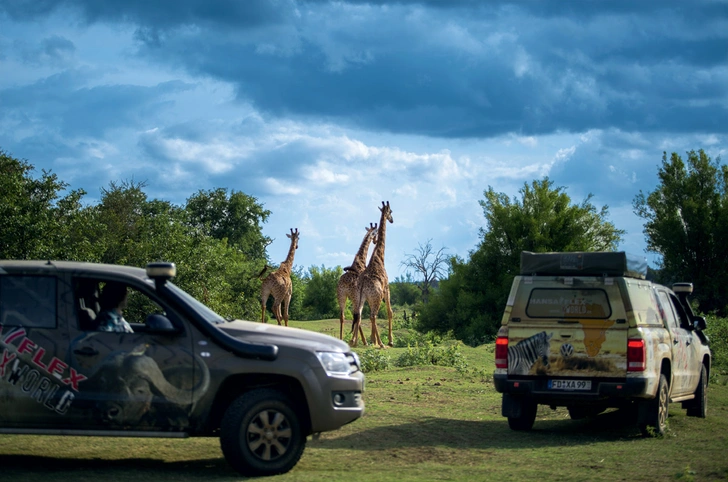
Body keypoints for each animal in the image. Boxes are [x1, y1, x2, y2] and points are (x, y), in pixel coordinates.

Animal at [352, 201, 396, 348]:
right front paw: (390, 341)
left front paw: (373, 340)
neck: (379, 256)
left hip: (361, 299)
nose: (392, 220)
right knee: (373, 316)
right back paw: (381, 344)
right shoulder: (386, 288)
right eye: (390, 212)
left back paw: (355, 342)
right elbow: (390, 312)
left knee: (359, 315)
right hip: (376, 297)